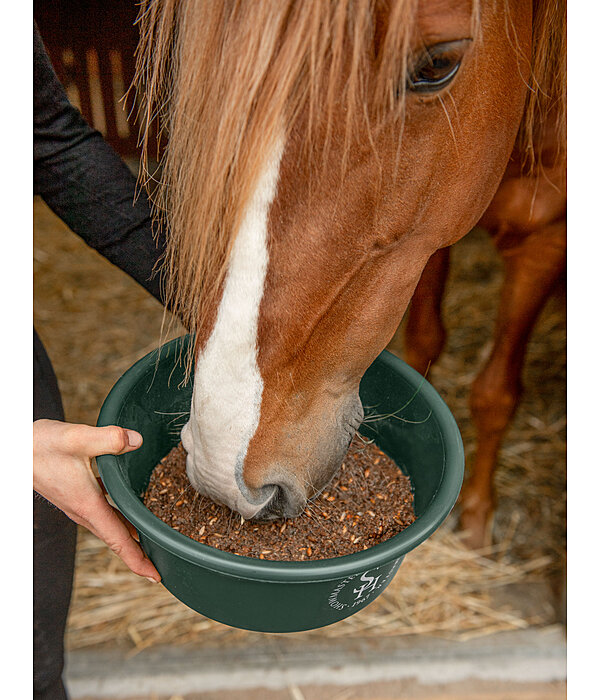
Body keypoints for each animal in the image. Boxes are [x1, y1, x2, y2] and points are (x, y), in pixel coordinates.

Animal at [132, 0, 568, 528]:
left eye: (437, 64)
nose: (222, 475)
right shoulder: (430, 234)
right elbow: (425, 342)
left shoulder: (544, 240)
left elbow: (495, 392)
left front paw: (477, 516)